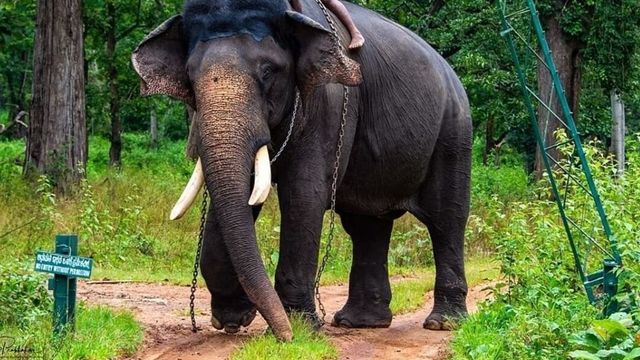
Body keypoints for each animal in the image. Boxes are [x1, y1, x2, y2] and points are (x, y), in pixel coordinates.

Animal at [131, 0, 470, 342]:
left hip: (453, 132)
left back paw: (443, 323)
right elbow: (241, 195)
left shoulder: (329, 100)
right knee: (366, 225)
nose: (285, 336)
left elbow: (303, 193)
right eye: (189, 76)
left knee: (445, 219)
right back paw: (359, 322)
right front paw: (232, 321)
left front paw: (301, 328)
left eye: (268, 71)